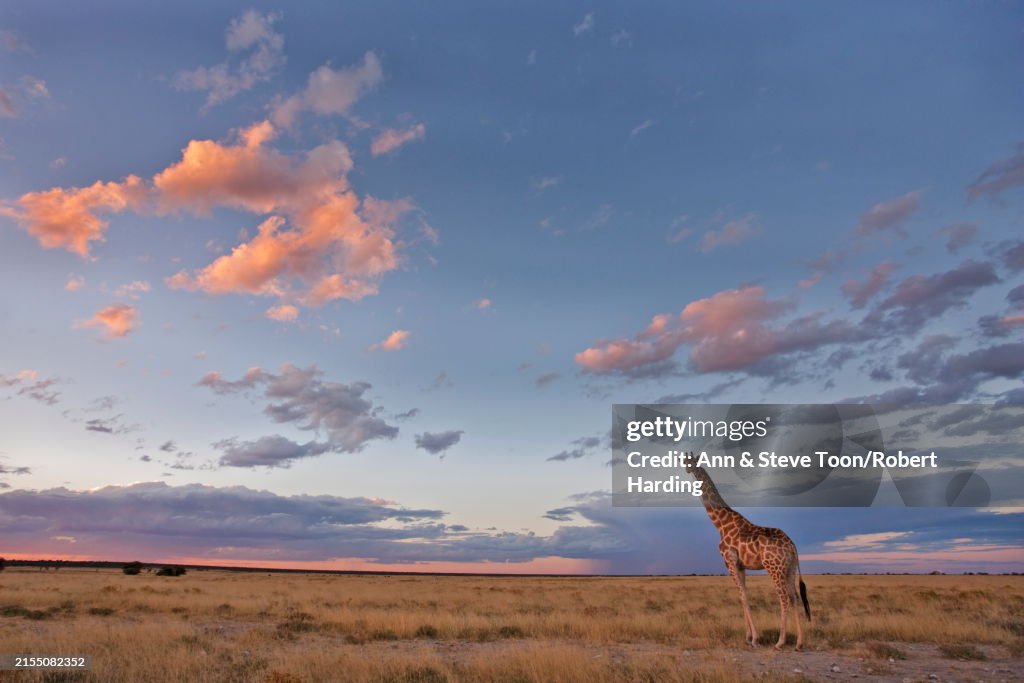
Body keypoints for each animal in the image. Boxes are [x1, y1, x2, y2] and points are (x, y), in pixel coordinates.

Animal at [685, 454, 810, 650]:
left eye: (691, 461)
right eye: (685, 460)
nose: (686, 467)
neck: (720, 524)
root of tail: (792, 545)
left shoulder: (729, 561)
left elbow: (743, 596)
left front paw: (755, 639)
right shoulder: (741, 565)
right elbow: (743, 596)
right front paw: (748, 637)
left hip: (774, 567)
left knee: (783, 598)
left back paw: (780, 642)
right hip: (789, 568)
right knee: (795, 596)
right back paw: (799, 643)